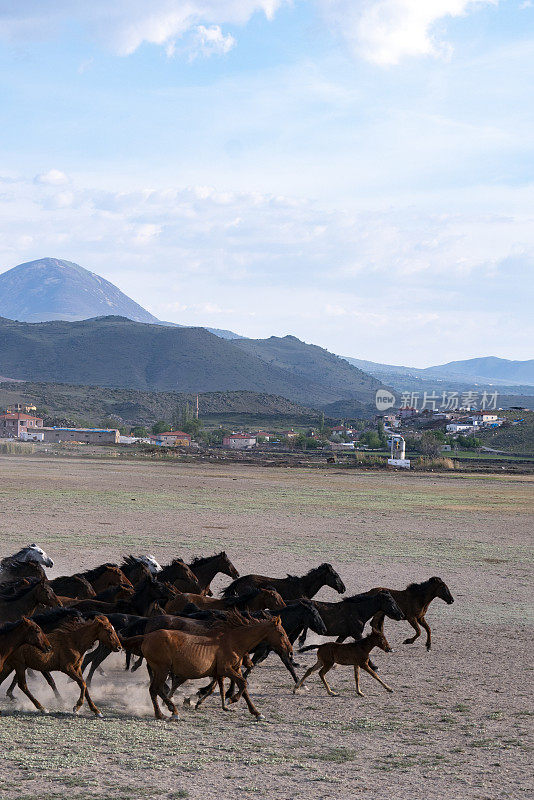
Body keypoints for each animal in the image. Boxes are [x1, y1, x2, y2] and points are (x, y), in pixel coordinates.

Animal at [122, 612, 294, 720]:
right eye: (281, 633)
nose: (291, 652)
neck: (233, 641)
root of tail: (146, 636)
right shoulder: (226, 669)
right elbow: (243, 684)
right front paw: (231, 700)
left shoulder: (234, 670)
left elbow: (243, 688)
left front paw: (256, 713)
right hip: (161, 669)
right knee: (155, 689)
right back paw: (170, 712)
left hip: (159, 669)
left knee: (156, 689)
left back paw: (165, 712)